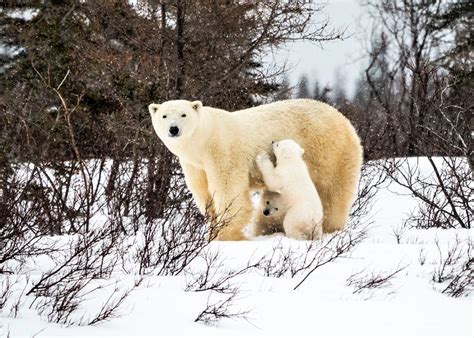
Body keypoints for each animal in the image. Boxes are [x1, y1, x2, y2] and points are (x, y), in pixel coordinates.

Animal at [148, 97, 362, 240]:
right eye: (164, 115)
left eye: (183, 114)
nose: (173, 129)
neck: (203, 142)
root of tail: (346, 121)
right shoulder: (194, 165)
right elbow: (204, 194)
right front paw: (211, 231)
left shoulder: (223, 150)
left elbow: (229, 192)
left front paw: (226, 235)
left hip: (329, 152)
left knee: (332, 193)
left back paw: (329, 227)